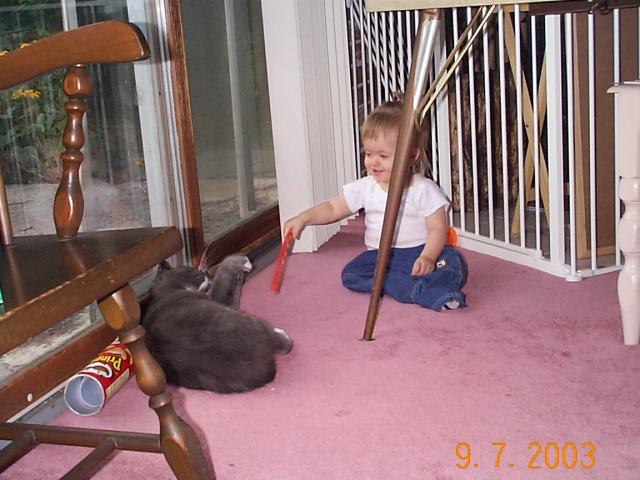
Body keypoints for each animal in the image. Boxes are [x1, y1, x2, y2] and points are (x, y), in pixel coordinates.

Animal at [141, 255, 293, 393]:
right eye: (189, 269)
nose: (205, 273)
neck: (165, 291)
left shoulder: (229, 303)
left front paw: (241, 275)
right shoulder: (215, 298)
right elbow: (223, 276)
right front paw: (240, 261)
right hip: (251, 321)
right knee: (283, 345)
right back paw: (282, 335)